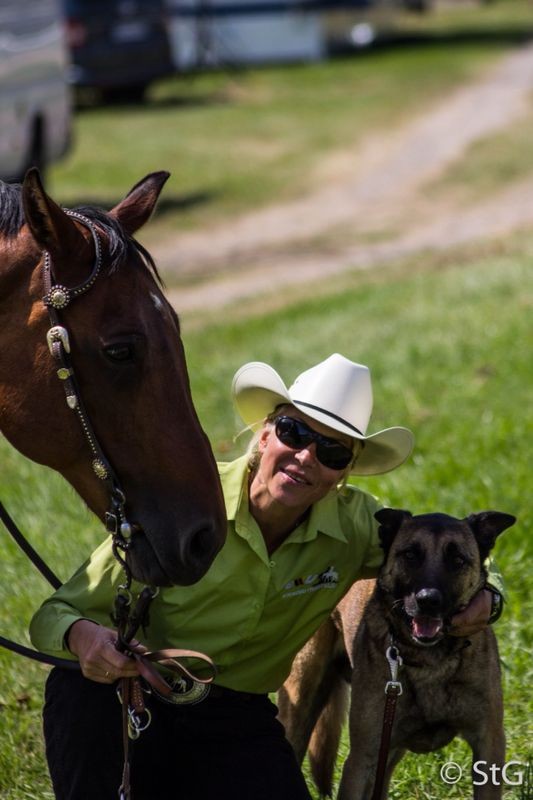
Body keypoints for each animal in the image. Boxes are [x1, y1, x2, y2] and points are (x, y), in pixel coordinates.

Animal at [278, 510, 516, 796]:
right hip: (301, 702)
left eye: (457, 560)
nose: (428, 600)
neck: (430, 661)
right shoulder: (362, 759)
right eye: (411, 555)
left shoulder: (488, 746)